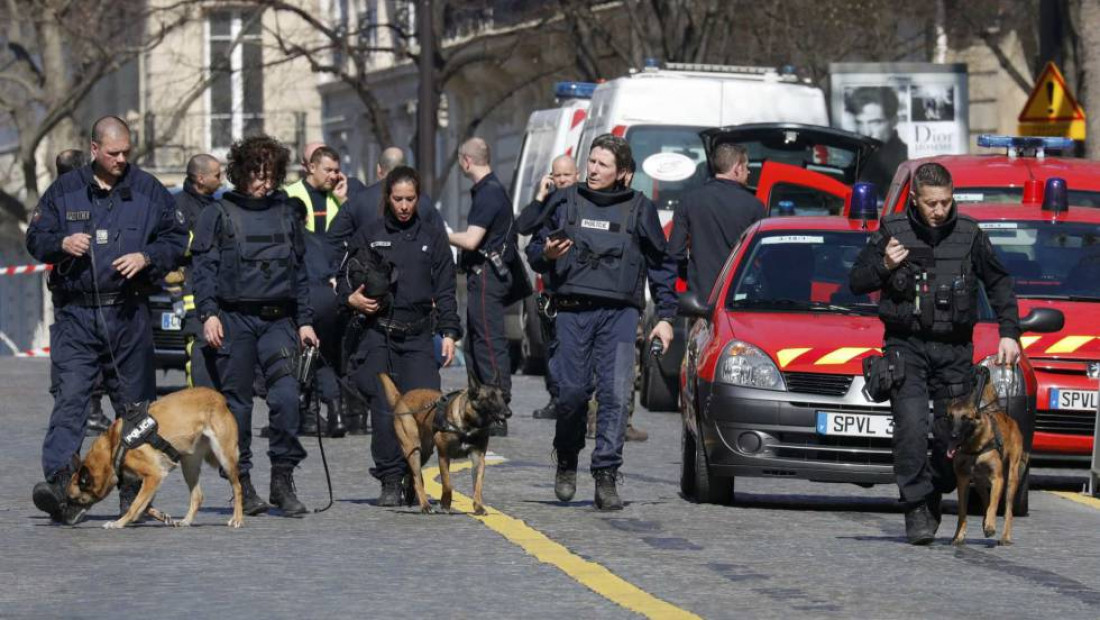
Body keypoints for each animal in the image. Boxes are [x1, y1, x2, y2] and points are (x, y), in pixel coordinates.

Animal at [66, 386, 245, 527]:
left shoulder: (154, 475)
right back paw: (186, 521)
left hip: (224, 458)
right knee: (197, 496)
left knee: (237, 487)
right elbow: (142, 505)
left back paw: (237, 519)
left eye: (75, 499)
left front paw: (119, 523)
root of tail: (219, 398)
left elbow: (135, 505)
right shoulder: (145, 480)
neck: (112, 447)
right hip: (189, 465)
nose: (64, 520)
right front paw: (161, 516)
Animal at [380, 364, 508, 516]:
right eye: (490, 398)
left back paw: (410, 494)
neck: (467, 424)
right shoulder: (443, 455)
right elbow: (447, 484)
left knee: (411, 474)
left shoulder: (478, 457)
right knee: (417, 478)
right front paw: (445, 503)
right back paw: (425, 505)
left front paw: (478, 506)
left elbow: (478, 485)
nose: (508, 413)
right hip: (413, 449)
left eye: (504, 397)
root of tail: (401, 398)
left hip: (425, 451)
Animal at [946, 364, 1029, 545]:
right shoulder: (963, 480)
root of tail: (1005, 416)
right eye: (950, 418)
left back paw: (1004, 536)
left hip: (1011, 479)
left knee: (1007, 510)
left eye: (965, 418)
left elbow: (993, 505)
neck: (974, 448)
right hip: (979, 483)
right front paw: (959, 535)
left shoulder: (998, 479)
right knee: (985, 501)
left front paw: (990, 526)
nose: (953, 436)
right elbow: (963, 511)